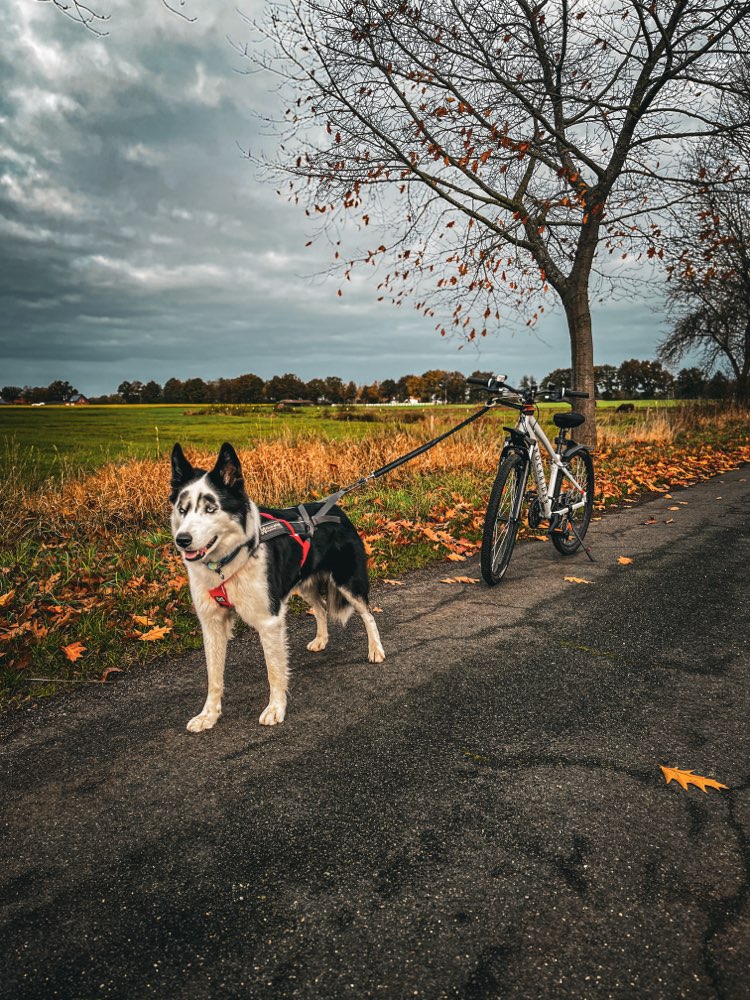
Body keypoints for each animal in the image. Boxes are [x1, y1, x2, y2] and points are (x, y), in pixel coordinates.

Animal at [168, 442, 384, 732]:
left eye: (211, 508)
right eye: (182, 509)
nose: (182, 540)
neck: (229, 561)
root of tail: (335, 508)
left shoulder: (269, 620)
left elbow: (274, 671)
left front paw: (275, 709)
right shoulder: (212, 623)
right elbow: (213, 676)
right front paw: (209, 715)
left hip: (348, 582)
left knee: (367, 614)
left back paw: (376, 650)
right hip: (304, 584)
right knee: (321, 607)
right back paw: (321, 639)